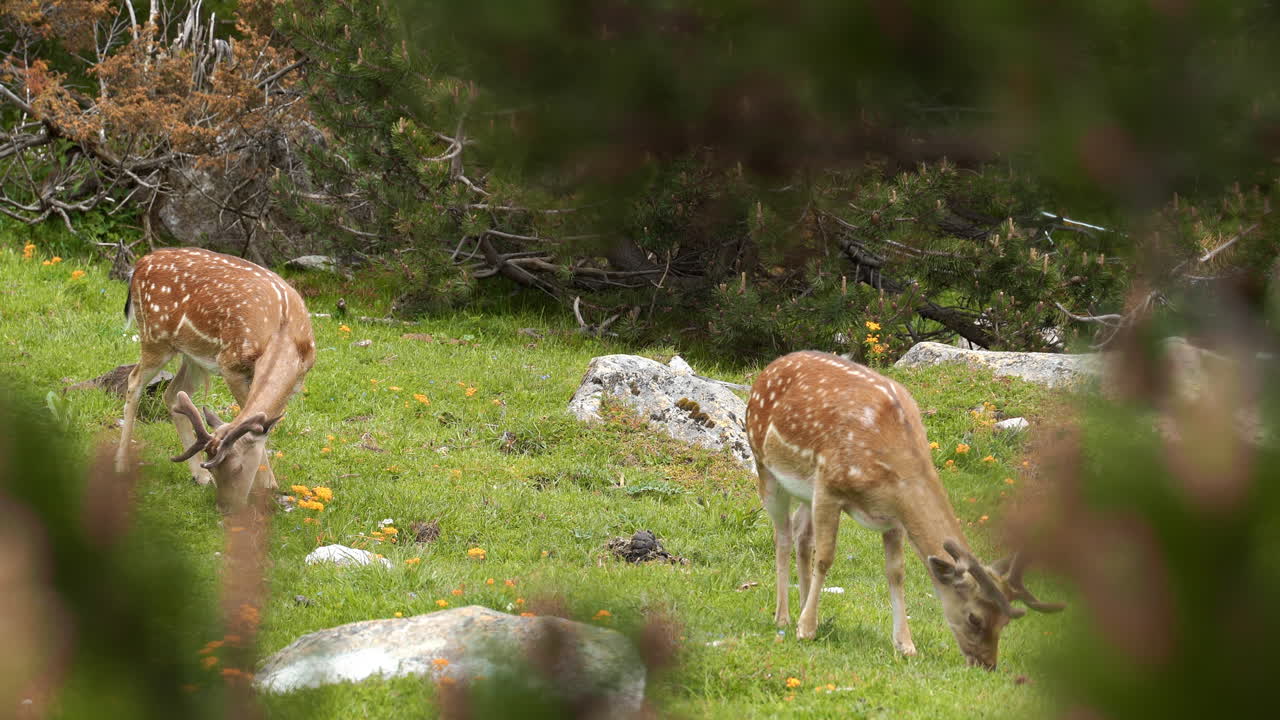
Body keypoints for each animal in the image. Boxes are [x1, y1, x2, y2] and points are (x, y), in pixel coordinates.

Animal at [114, 247, 316, 512]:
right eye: (219, 470)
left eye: (238, 468)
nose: (225, 507)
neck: (283, 335)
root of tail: (140, 264)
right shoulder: (231, 365)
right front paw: (268, 485)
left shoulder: (297, 379)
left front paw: (270, 486)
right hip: (155, 336)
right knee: (134, 380)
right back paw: (121, 464)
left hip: (193, 355)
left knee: (173, 393)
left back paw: (198, 477)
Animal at [745, 351, 1063, 669]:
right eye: (974, 618)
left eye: (1004, 623)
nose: (987, 665)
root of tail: (770, 367)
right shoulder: (828, 486)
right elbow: (825, 558)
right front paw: (806, 630)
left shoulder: (893, 518)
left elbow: (896, 572)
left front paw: (906, 645)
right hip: (766, 468)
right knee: (783, 535)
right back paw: (785, 617)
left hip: (804, 492)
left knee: (802, 535)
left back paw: (804, 608)